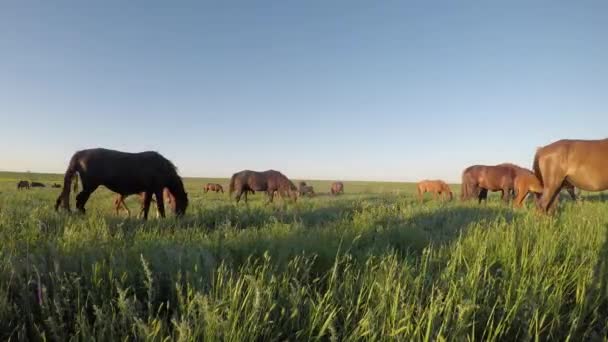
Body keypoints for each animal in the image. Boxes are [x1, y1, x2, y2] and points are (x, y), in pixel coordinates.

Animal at [54, 148, 188, 219]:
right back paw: (82, 215)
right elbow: (160, 206)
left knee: (80, 201)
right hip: (90, 186)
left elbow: (146, 206)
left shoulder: (149, 190)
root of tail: (79, 154)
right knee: (80, 200)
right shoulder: (157, 189)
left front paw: (144, 220)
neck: (162, 167)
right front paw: (163, 219)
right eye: (184, 203)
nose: (180, 218)